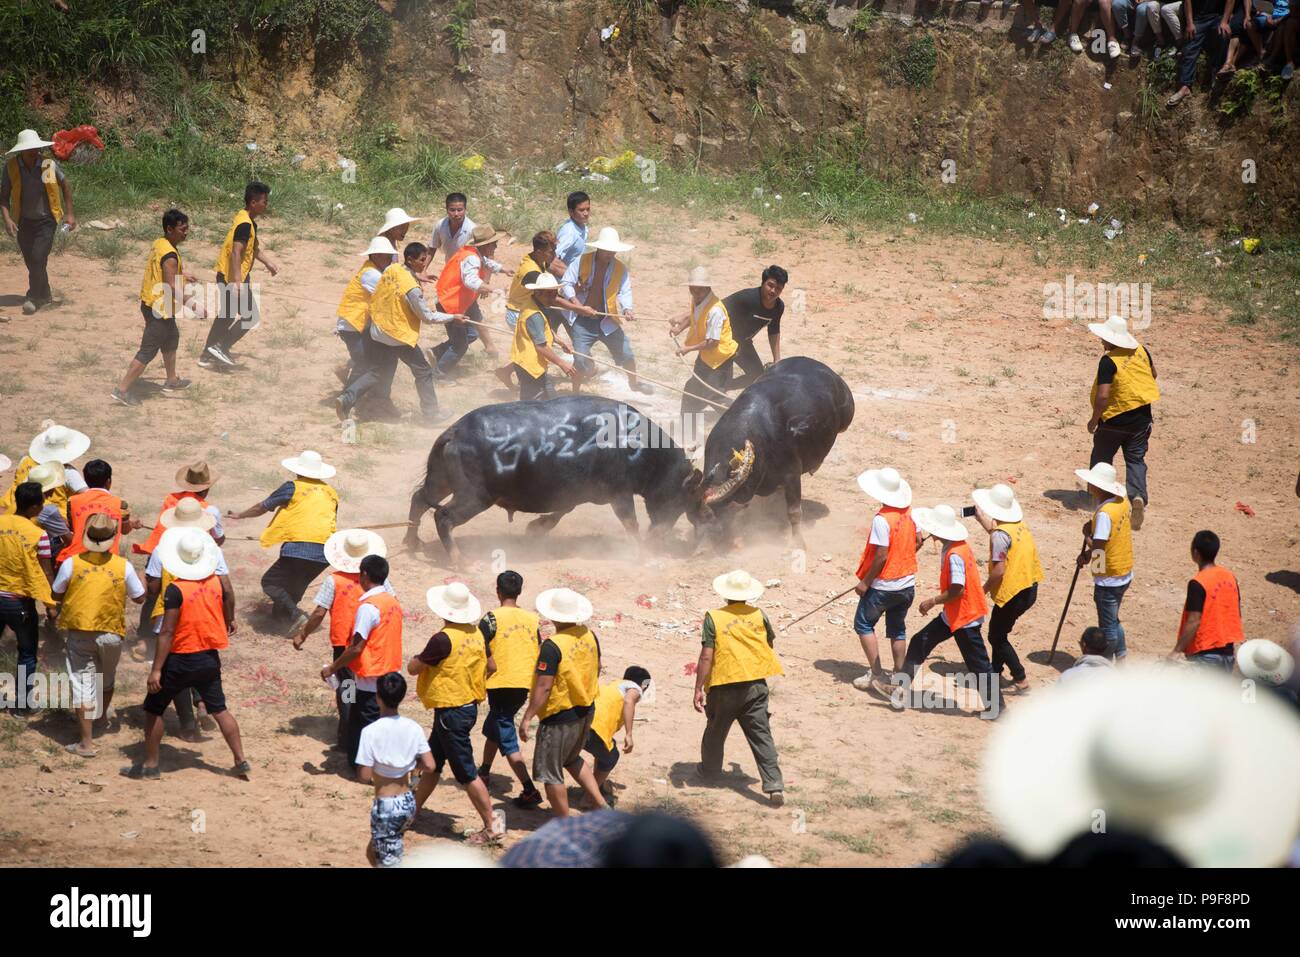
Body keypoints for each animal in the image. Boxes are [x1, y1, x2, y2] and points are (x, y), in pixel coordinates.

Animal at [408, 395, 707, 564]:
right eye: (682, 498)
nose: (659, 535)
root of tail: (455, 432)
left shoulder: (572, 494)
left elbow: (560, 512)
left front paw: (536, 528)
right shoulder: (620, 495)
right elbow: (631, 523)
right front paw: (640, 552)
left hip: (441, 482)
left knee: (419, 500)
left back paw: (411, 543)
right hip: (475, 497)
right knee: (443, 517)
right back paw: (459, 560)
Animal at [702, 356, 852, 546]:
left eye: (723, 509)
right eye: (712, 512)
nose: (721, 534)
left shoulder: (792, 474)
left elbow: (794, 512)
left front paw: (798, 543)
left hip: (847, 416)